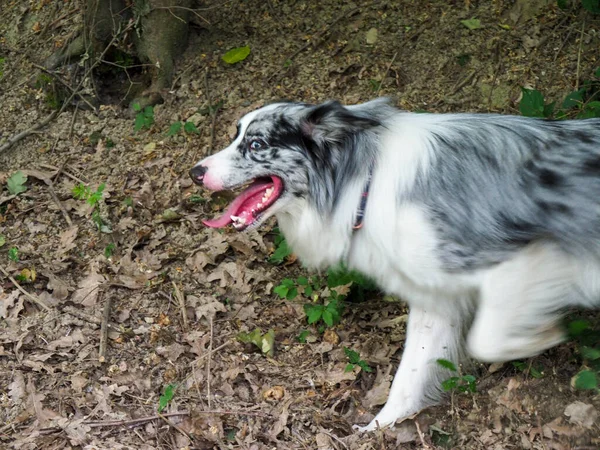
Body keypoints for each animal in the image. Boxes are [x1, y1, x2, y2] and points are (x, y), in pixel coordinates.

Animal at [190, 99, 600, 432]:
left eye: (256, 145)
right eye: (237, 136)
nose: (195, 172)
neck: (365, 183)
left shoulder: (524, 258)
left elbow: (487, 340)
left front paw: (540, 335)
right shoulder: (437, 298)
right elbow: (410, 373)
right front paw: (377, 429)